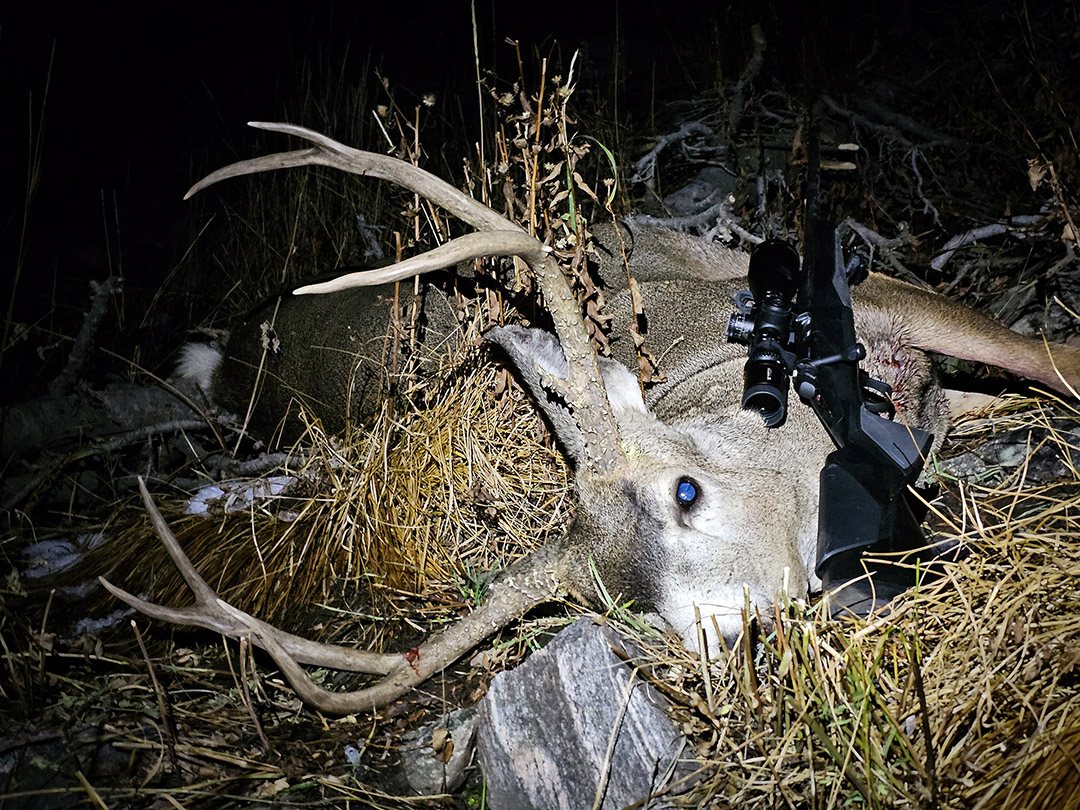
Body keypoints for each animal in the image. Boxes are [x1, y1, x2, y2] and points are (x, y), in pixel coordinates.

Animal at [102, 122, 1080, 715]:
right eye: (630, 610)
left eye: (686, 490)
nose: (730, 637)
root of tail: (236, 356)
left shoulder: (892, 307)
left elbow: (1045, 360)